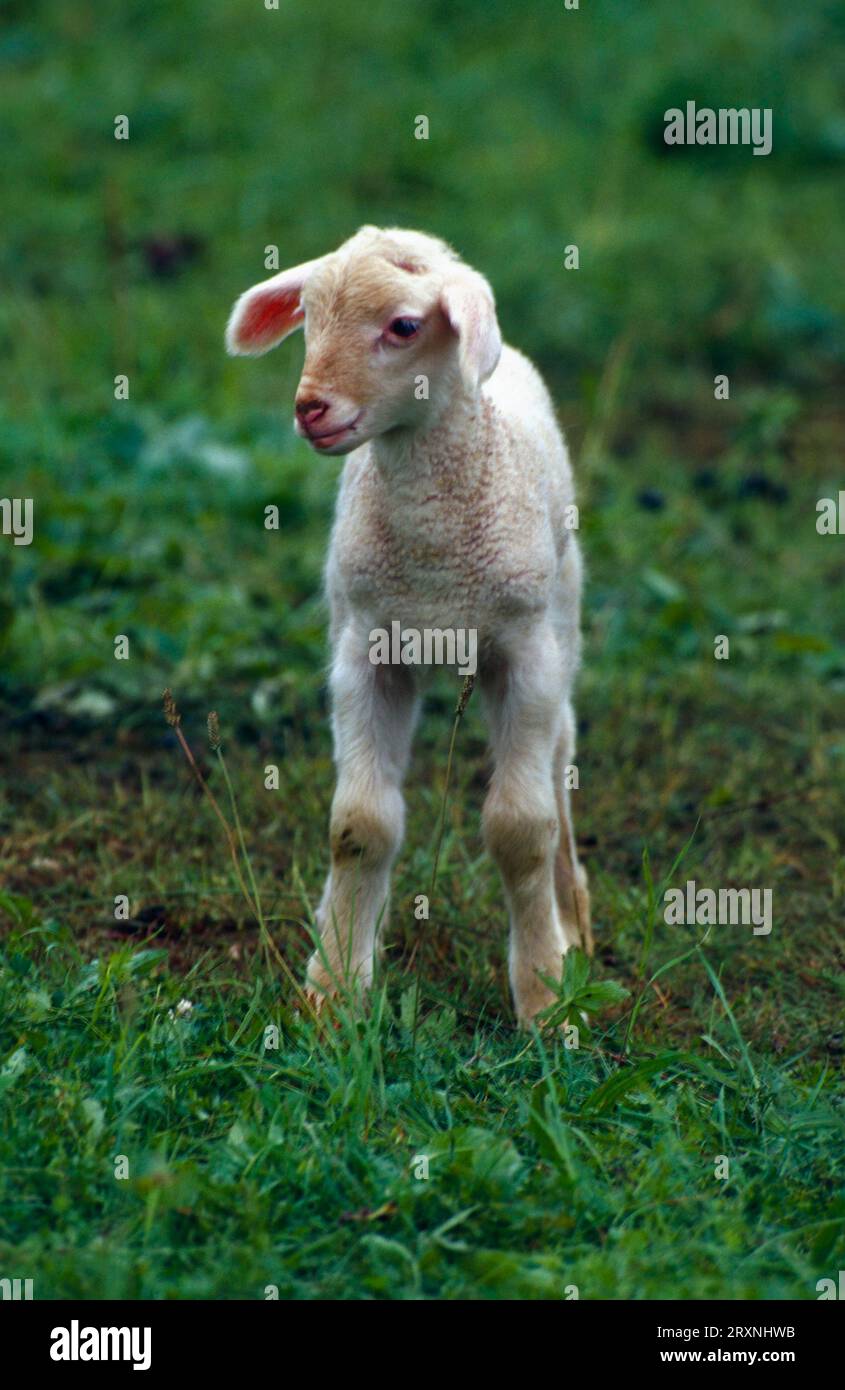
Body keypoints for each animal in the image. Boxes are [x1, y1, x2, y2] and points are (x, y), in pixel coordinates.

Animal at [226, 225, 592, 1026]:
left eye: (402, 326)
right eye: (308, 314)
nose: (311, 409)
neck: (434, 563)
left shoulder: (525, 655)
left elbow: (521, 828)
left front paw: (544, 997)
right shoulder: (366, 650)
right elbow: (361, 825)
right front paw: (335, 987)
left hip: (561, 618)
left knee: (558, 763)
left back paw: (572, 922)